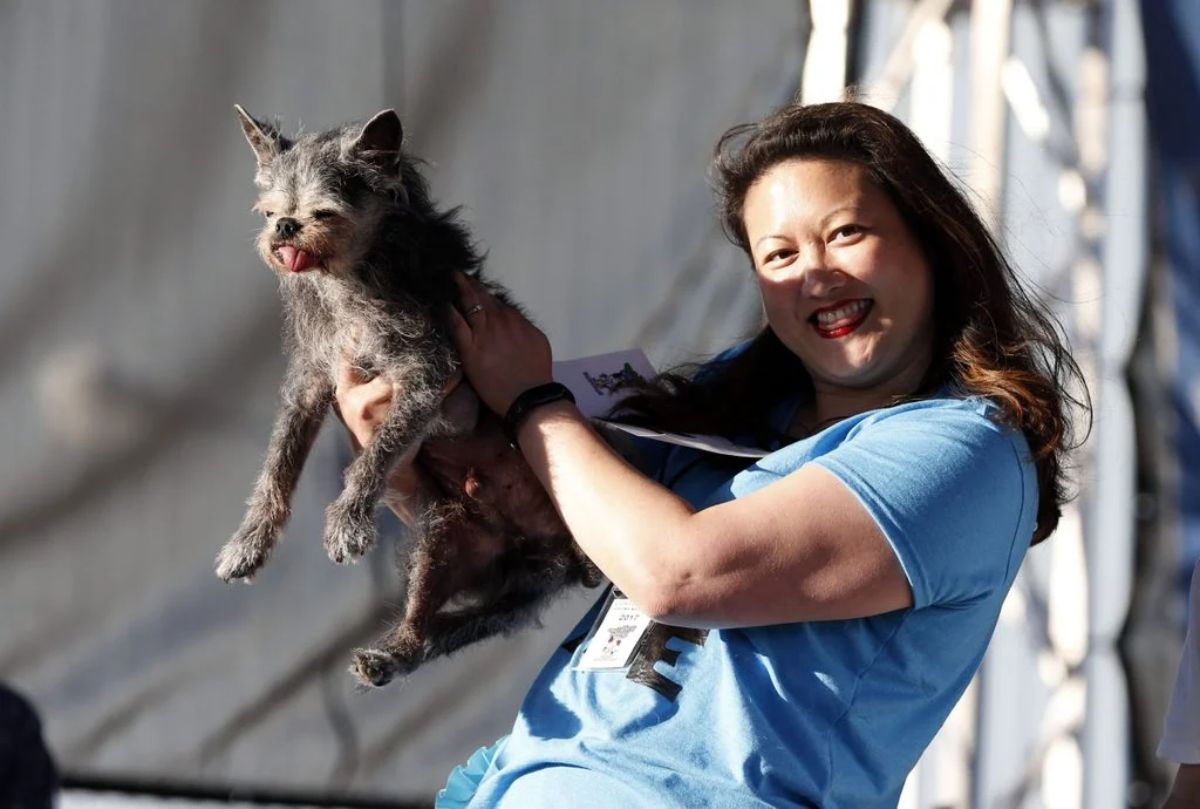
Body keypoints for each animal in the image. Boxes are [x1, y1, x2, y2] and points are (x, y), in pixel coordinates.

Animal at [216, 105, 600, 686]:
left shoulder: (427, 376)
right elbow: (278, 464)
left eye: (323, 212)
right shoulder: (311, 383)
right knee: (430, 631)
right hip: (443, 547)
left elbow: (378, 451)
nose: (285, 228)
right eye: (270, 212)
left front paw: (348, 520)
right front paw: (250, 542)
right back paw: (387, 657)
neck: (348, 282)